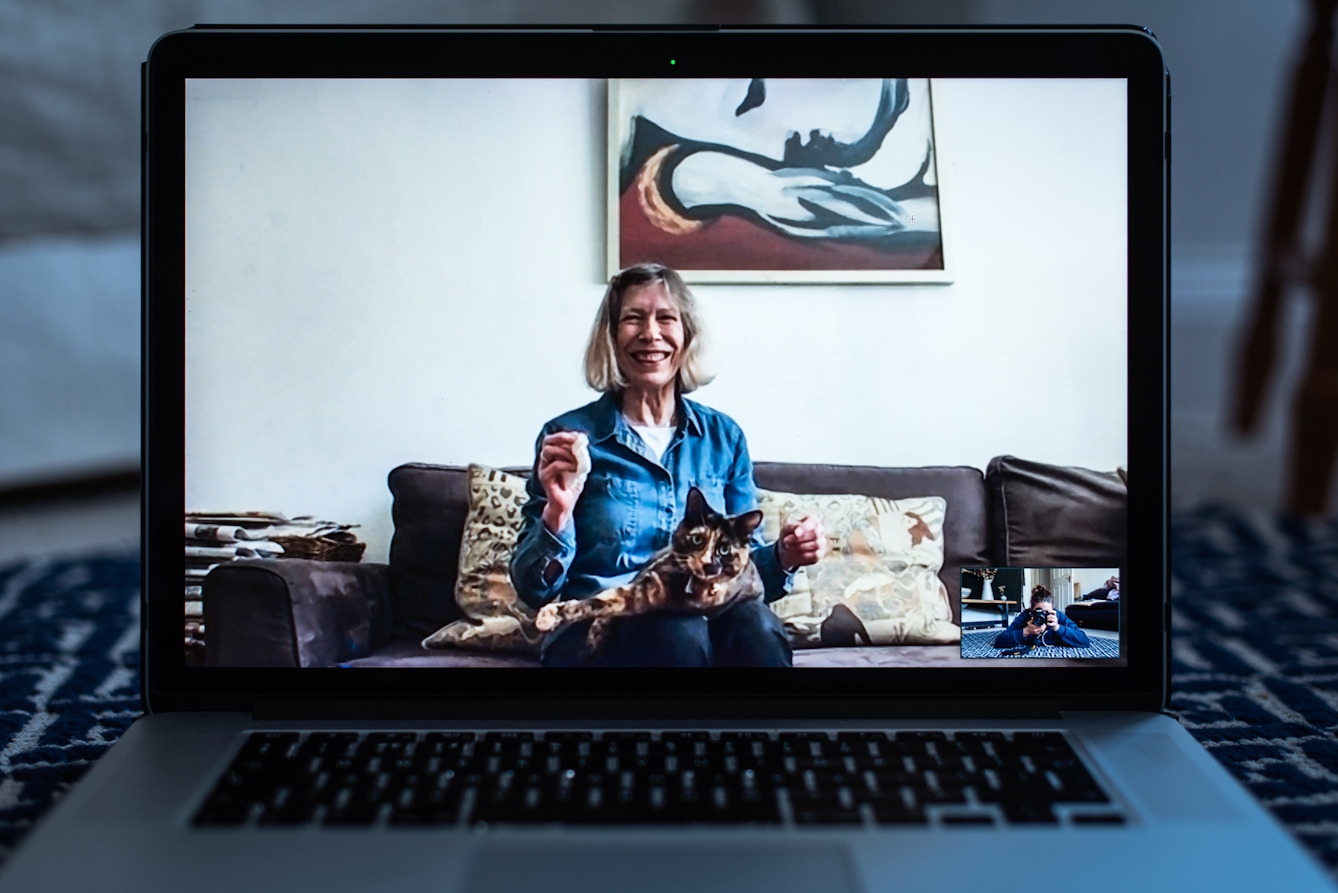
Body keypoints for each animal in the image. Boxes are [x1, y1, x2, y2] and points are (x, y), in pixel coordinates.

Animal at [532, 490, 765, 656]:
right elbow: (597, 602)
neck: (693, 589)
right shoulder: (644, 589)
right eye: (697, 539)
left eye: (724, 549)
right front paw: (553, 614)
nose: (708, 564)